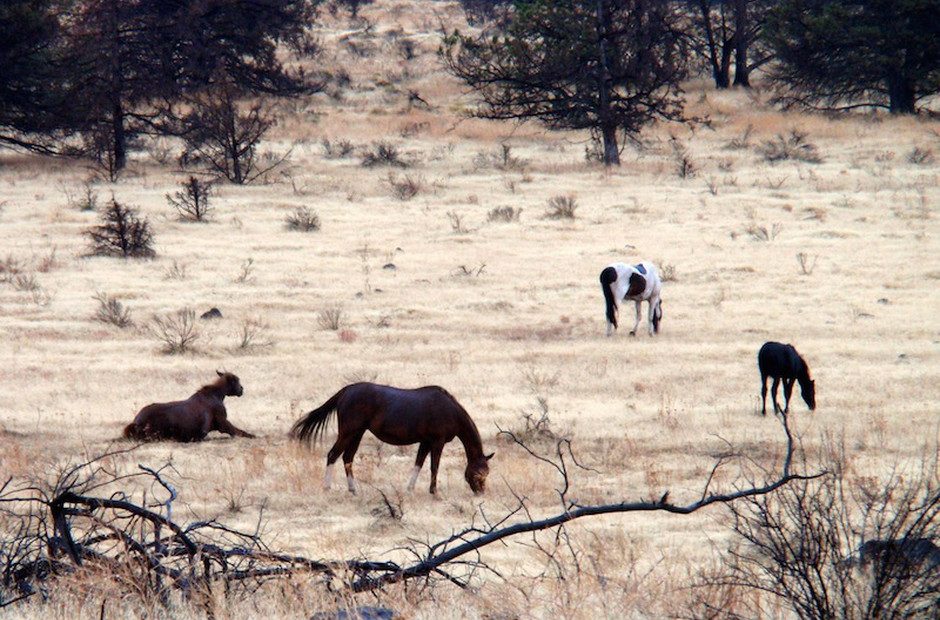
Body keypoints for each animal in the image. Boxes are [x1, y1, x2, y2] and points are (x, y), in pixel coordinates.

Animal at [123, 370, 253, 444]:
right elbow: (240, 432)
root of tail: (135, 422)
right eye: (236, 381)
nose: (241, 389)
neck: (218, 395)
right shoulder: (223, 424)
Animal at [290, 380, 496, 496]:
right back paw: (327, 488)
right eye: (479, 473)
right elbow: (434, 466)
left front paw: (410, 489)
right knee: (333, 455)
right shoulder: (437, 442)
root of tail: (346, 391)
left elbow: (419, 463)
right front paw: (434, 492)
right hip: (349, 432)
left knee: (348, 457)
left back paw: (353, 490)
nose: (481, 493)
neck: (449, 410)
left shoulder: (425, 441)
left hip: (357, 433)